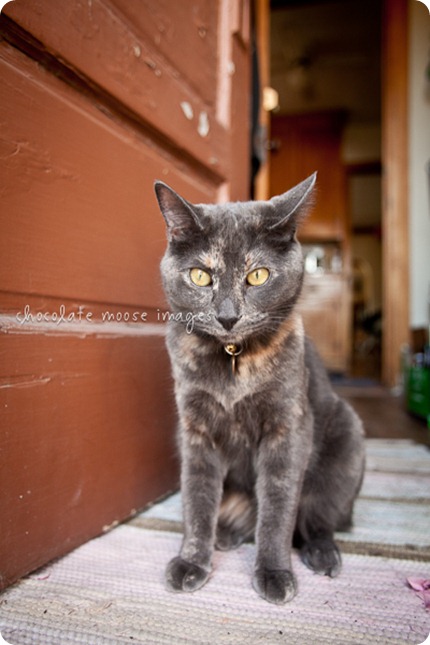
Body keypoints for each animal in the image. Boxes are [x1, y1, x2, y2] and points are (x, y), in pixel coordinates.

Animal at [153, 171, 364, 604]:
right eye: (201, 275)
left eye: (258, 275)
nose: (228, 316)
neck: (234, 358)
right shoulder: (195, 430)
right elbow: (197, 499)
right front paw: (192, 561)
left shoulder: (288, 427)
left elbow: (278, 509)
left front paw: (274, 573)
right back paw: (226, 534)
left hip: (348, 437)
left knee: (316, 519)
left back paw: (322, 554)